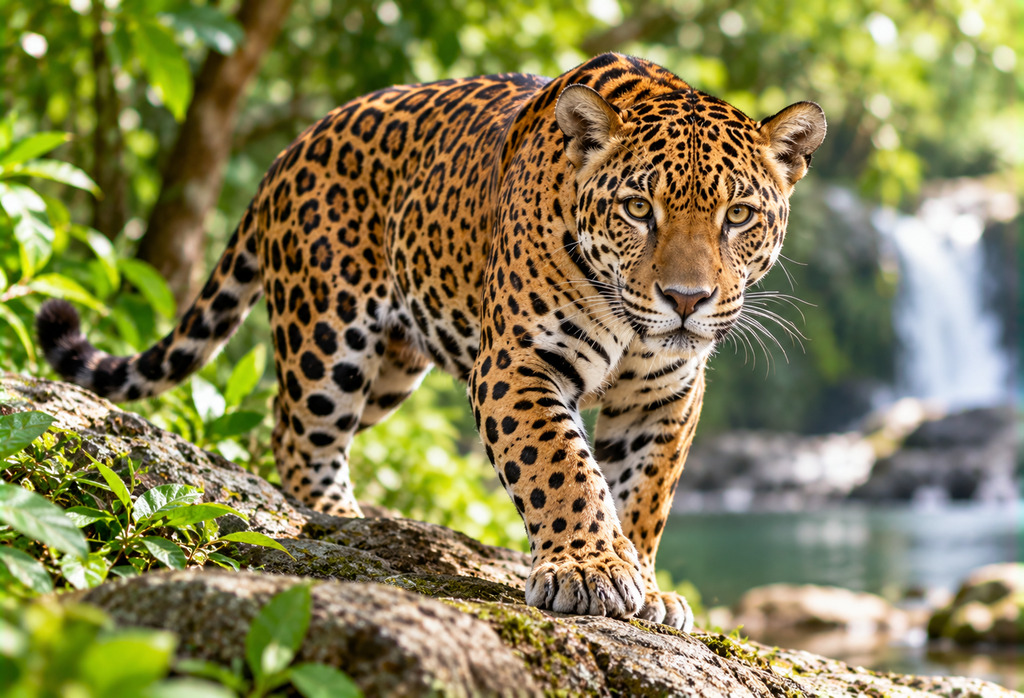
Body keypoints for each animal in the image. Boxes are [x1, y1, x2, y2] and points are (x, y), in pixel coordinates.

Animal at [36, 52, 825, 631]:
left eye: (738, 215)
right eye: (638, 209)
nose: (686, 301)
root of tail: (294, 145)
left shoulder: (667, 394)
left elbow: (642, 493)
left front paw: (643, 580)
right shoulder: (518, 364)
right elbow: (562, 468)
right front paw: (589, 570)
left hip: (389, 372)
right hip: (329, 337)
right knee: (298, 431)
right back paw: (338, 520)